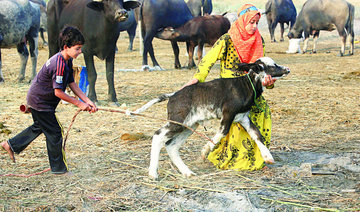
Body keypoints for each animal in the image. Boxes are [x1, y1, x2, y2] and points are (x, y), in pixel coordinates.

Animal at [134, 56, 292, 179]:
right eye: (272, 66)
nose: (287, 69)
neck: (245, 86)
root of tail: (172, 95)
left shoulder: (243, 117)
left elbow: (257, 134)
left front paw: (268, 157)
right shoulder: (228, 113)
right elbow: (222, 133)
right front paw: (205, 151)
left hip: (189, 125)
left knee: (171, 145)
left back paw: (187, 172)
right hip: (177, 121)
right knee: (157, 135)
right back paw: (153, 173)